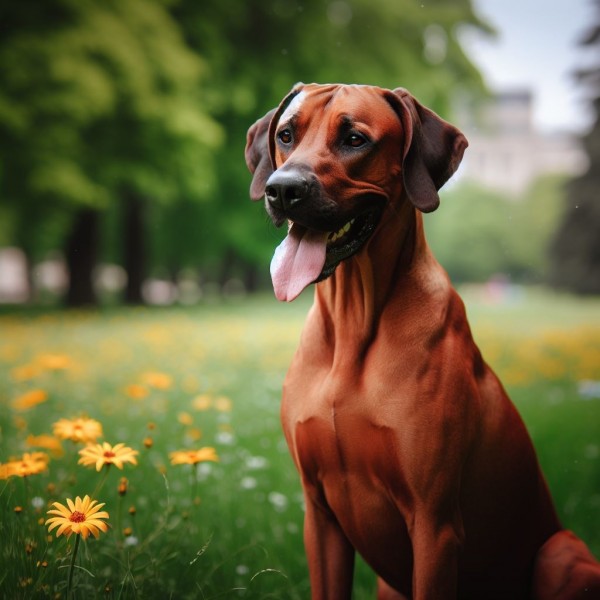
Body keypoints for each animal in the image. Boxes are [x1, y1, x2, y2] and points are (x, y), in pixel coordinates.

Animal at [244, 84, 600, 600]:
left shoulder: (435, 525)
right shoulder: (320, 516)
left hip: (561, 552)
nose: (282, 189)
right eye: (286, 135)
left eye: (355, 138)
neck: (354, 326)